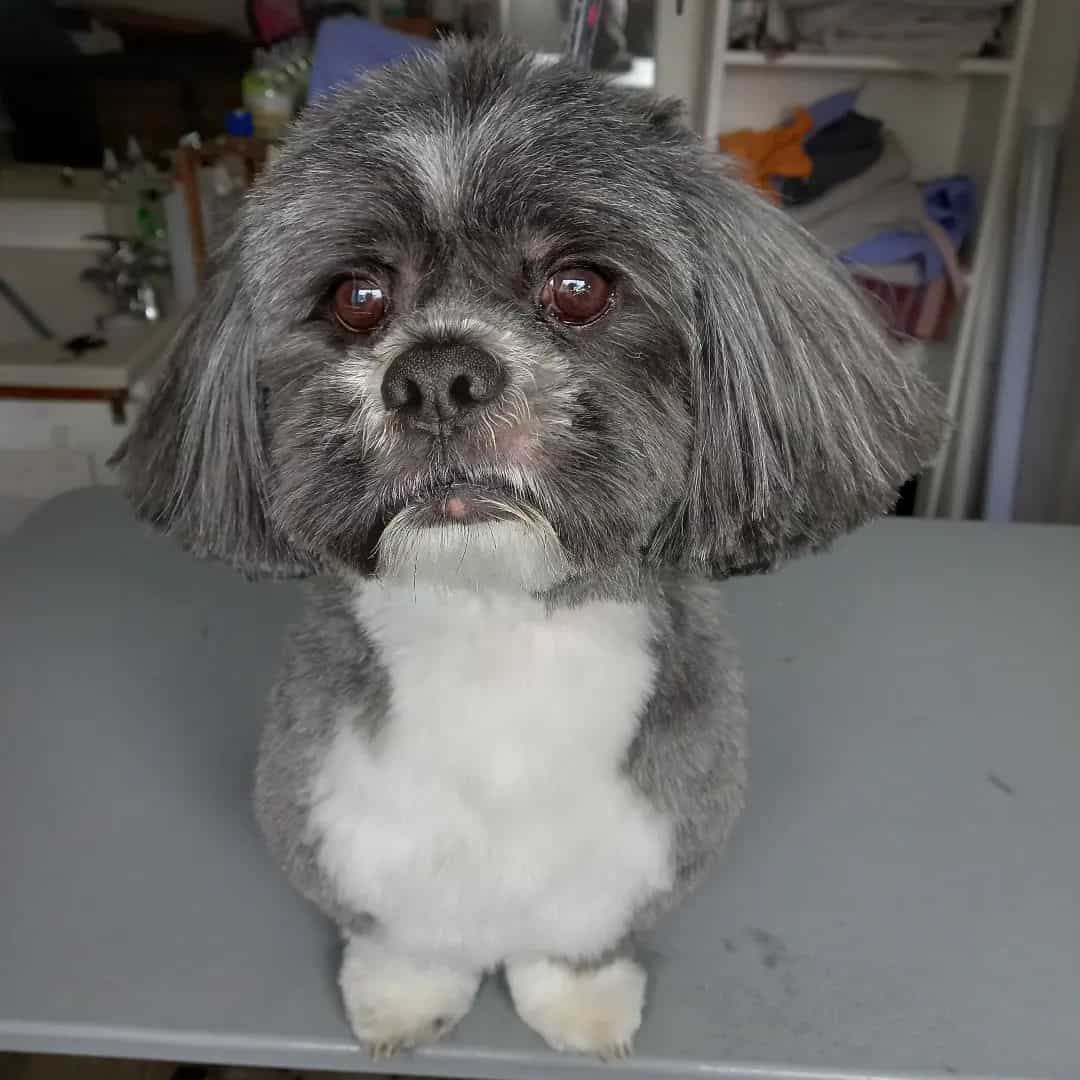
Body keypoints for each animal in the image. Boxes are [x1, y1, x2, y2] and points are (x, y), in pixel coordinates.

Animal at [118, 42, 941, 1062]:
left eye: (578, 287)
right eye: (357, 298)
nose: (436, 376)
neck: (495, 625)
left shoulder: (650, 839)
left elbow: (577, 941)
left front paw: (582, 1006)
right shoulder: (337, 821)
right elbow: (407, 939)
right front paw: (404, 998)